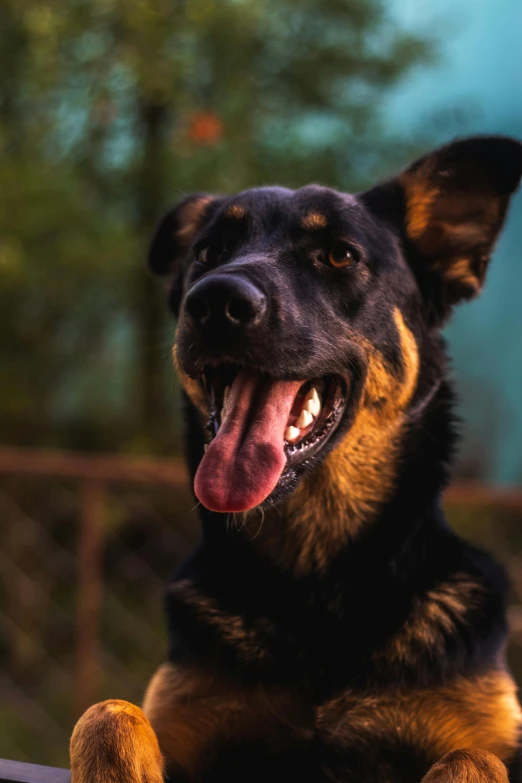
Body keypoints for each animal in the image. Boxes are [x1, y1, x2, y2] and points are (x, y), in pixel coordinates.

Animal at [70, 138, 520, 780]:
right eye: (208, 252)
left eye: (339, 255)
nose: (215, 302)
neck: (317, 587)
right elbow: (107, 713)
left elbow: (472, 754)